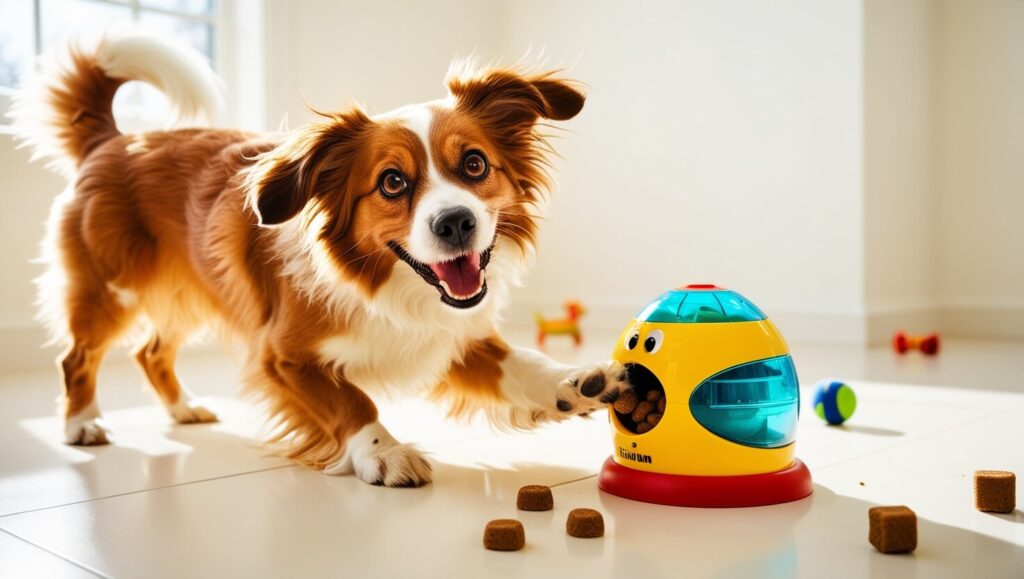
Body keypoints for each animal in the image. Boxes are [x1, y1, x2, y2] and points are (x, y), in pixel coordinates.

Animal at [12, 31, 626, 483]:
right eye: (392, 182)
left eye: (474, 164)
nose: (455, 223)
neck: (383, 283)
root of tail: (113, 140)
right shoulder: (282, 356)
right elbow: (351, 401)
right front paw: (384, 453)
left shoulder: (449, 333)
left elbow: (519, 364)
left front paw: (575, 383)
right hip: (110, 291)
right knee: (77, 358)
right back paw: (82, 424)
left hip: (187, 292)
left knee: (150, 352)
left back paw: (184, 407)